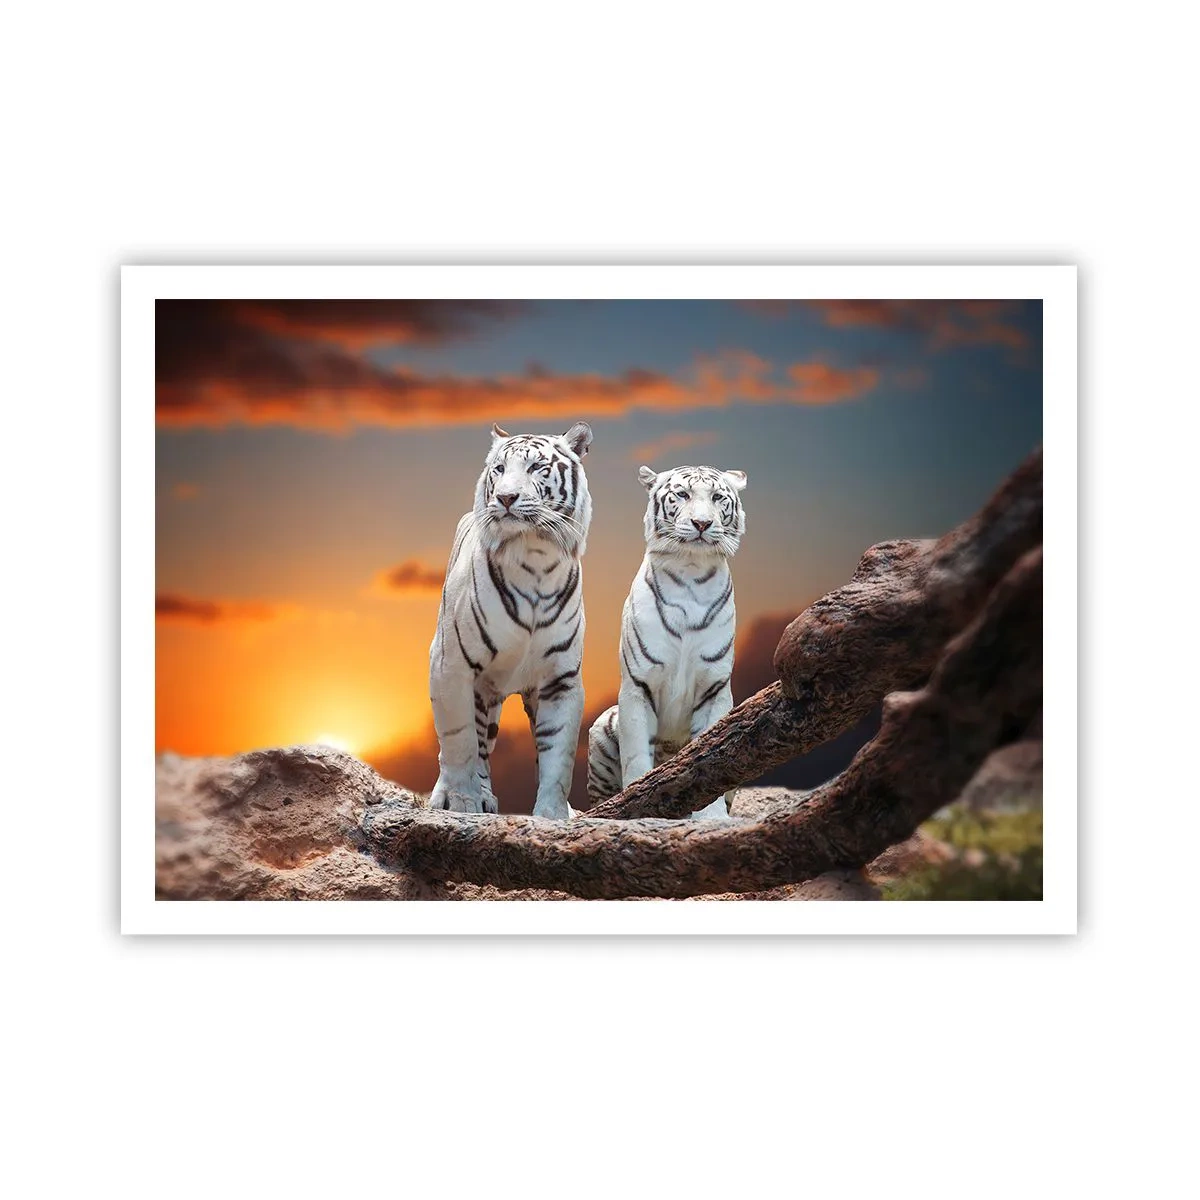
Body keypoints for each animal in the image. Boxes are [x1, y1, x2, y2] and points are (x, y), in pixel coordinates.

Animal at [428, 421, 593, 820]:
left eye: (536, 467)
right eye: (499, 470)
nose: (505, 498)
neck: (535, 555)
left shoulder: (561, 678)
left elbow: (558, 755)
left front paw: (553, 815)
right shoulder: (450, 664)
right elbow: (458, 742)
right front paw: (462, 802)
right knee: (472, 745)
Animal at [587, 463, 747, 819]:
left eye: (717, 497)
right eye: (682, 494)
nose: (702, 523)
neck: (691, 572)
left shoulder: (714, 688)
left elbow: (712, 755)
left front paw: (711, 818)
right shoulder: (638, 684)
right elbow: (636, 756)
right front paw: (636, 805)